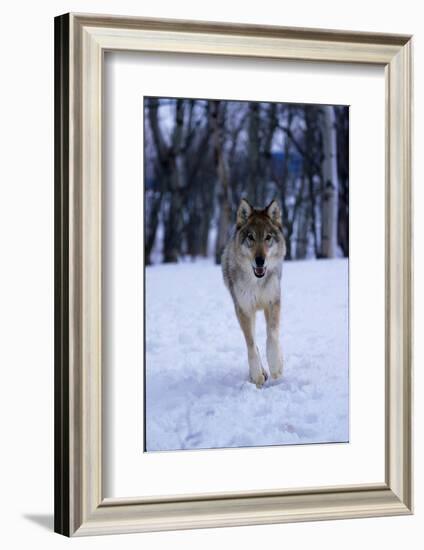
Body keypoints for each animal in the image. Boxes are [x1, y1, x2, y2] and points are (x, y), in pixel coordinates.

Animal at [222, 202, 284, 388]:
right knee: (254, 342)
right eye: (251, 237)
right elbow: (251, 344)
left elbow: (272, 337)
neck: (257, 282)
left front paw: (276, 366)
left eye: (268, 237)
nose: (260, 260)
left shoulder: (272, 302)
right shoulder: (244, 310)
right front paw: (257, 375)